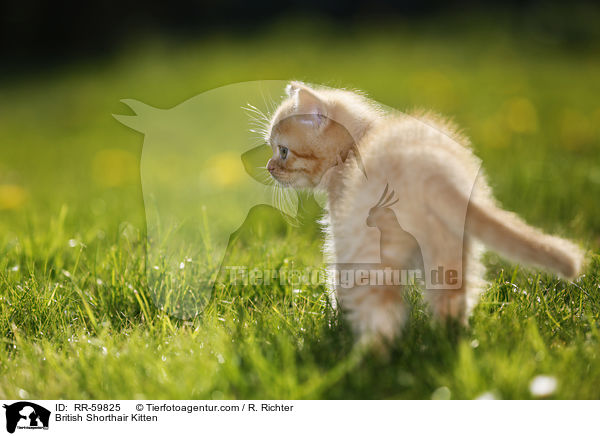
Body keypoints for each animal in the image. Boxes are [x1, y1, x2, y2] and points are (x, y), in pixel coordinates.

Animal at [264, 81, 584, 344]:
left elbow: (339, 279)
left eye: (283, 151)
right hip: (451, 244)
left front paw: (336, 319)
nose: (269, 168)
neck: (356, 146)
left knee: (384, 310)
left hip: (375, 246)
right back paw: (446, 342)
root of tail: (433, 171)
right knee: (451, 297)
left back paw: (368, 360)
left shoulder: (345, 234)